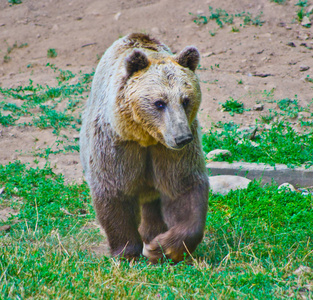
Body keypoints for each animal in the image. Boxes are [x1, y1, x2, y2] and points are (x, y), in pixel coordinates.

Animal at [79, 32, 208, 262]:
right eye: (159, 102)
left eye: (186, 100)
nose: (182, 137)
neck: (146, 137)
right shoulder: (119, 145)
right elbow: (115, 192)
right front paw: (127, 251)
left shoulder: (170, 153)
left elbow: (184, 189)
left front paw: (161, 248)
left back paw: (152, 233)